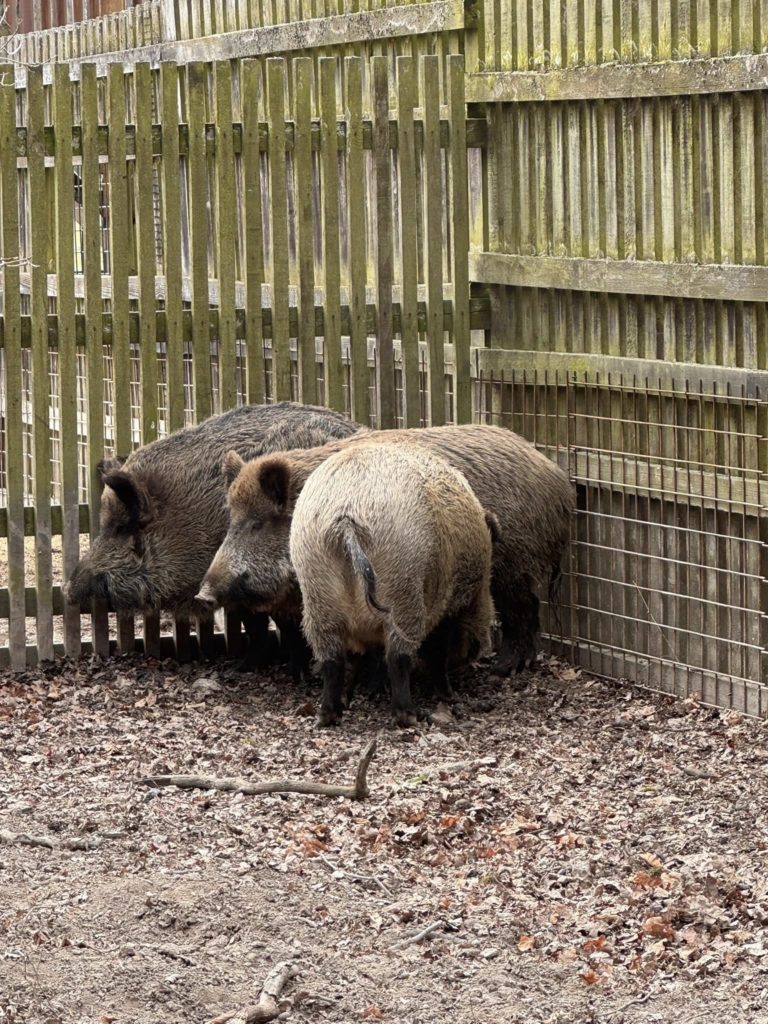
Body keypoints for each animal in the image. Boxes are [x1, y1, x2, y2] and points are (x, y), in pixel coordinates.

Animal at [199, 423, 574, 680]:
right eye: (232, 519)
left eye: (258, 523)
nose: (203, 595)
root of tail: (558, 478)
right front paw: (303, 674)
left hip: (516, 563)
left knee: (524, 607)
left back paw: (507, 667)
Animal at [289, 441, 496, 726]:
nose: (479, 649)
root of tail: (346, 515)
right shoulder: (448, 604)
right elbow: (436, 649)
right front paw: (448, 694)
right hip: (402, 588)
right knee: (398, 656)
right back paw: (408, 715)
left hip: (315, 587)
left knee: (331, 658)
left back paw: (328, 715)